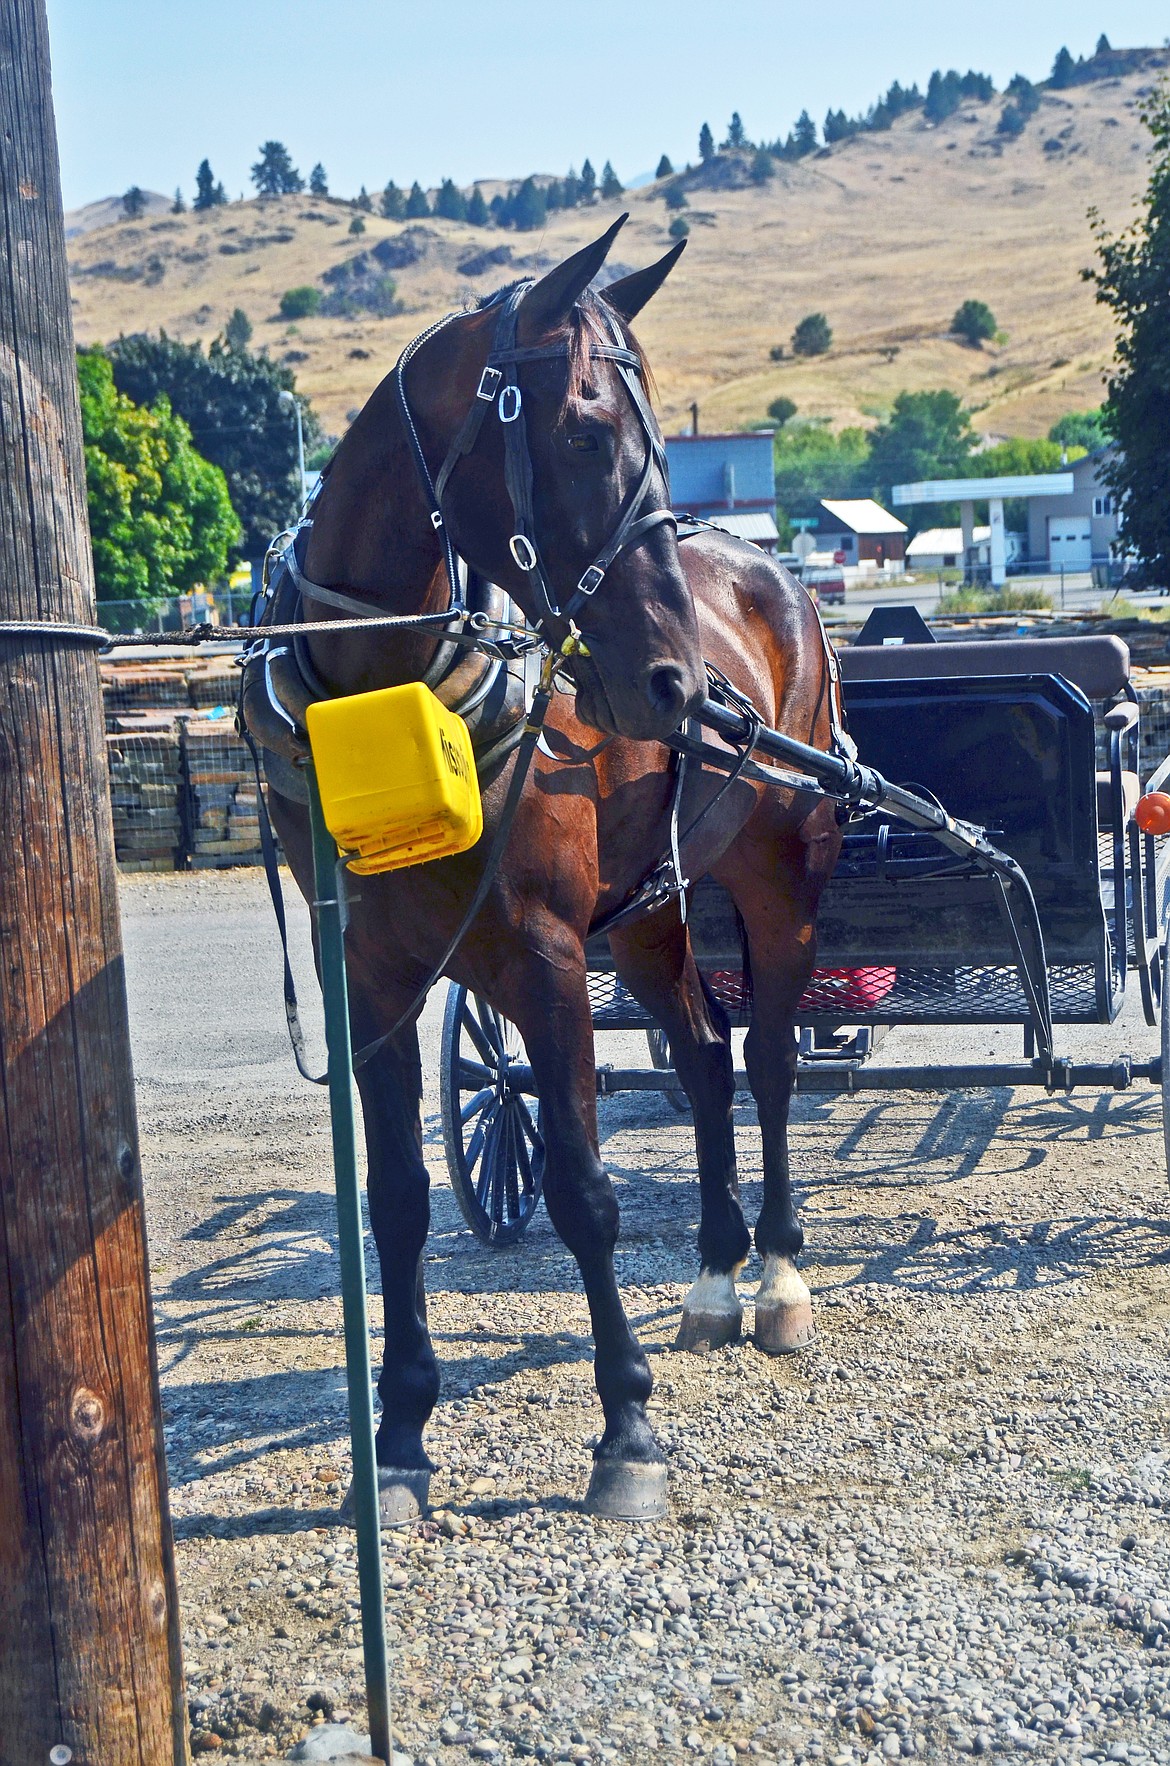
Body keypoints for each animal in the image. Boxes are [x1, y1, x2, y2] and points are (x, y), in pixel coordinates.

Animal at [255, 220, 843, 1518]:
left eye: (665, 444)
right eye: (583, 432)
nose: (679, 685)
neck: (381, 692)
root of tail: (775, 572)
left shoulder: (543, 954)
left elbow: (581, 1187)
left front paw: (627, 1427)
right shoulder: (365, 971)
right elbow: (399, 1197)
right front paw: (402, 1431)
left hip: (785, 866)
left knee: (771, 1056)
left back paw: (777, 1275)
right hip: (650, 910)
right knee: (704, 1056)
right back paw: (716, 1278)